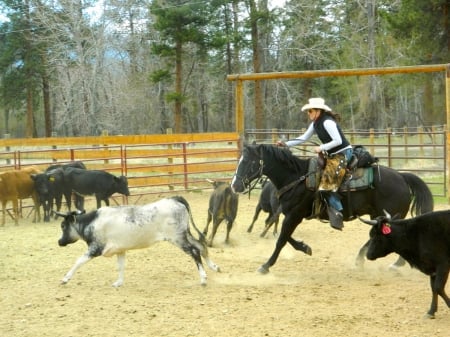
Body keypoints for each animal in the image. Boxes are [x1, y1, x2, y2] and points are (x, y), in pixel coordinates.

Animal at [56, 194, 220, 286]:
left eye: (63, 226)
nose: (59, 242)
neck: (92, 222)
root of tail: (174, 199)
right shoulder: (120, 250)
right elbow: (121, 266)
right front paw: (119, 282)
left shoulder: (95, 248)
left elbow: (78, 261)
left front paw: (65, 279)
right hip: (184, 233)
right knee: (201, 246)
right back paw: (214, 267)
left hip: (177, 238)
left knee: (194, 251)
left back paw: (203, 278)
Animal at [230, 144, 434, 272]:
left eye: (247, 161)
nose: (234, 185)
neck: (297, 177)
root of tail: (402, 176)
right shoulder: (290, 215)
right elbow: (285, 236)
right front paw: (305, 247)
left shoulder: (294, 215)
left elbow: (281, 239)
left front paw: (265, 266)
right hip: (377, 215)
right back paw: (362, 259)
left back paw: (395, 264)